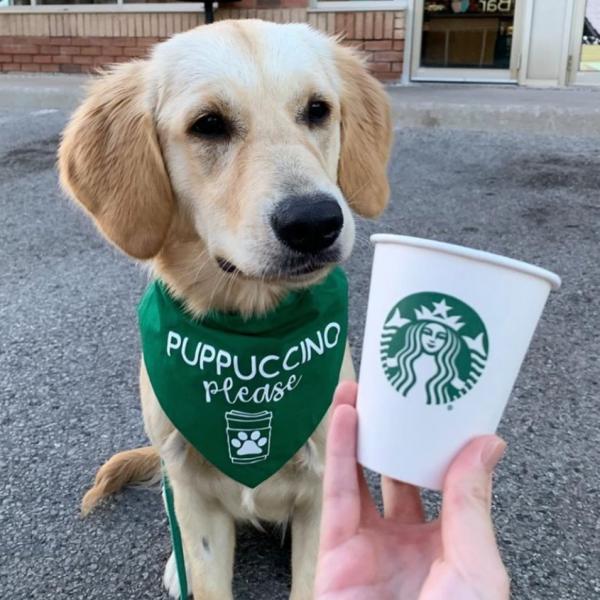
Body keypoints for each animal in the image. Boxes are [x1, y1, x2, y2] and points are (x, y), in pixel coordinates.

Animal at [58, 19, 392, 600]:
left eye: (318, 110)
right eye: (208, 125)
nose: (315, 223)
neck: (251, 332)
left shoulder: (323, 485)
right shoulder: (192, 492)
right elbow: (205, 572)